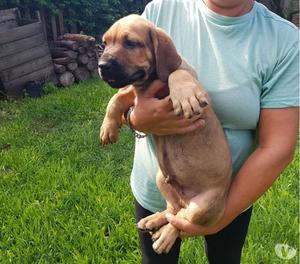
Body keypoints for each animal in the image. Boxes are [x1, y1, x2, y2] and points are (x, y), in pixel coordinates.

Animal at [98, 15, 232, 255]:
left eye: (131, 43)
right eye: (104, 43)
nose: (102, 66)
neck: (147, 82)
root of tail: (186, 197)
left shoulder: (190, 78)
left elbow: (177, 73)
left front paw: (185, 97)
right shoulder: (136, 94)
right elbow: (118, 96)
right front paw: (108, 128)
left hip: (203, 206)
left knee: (182, 219)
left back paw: (165, 236)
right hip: (162, 178)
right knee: (173, 209)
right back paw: (153, 219)